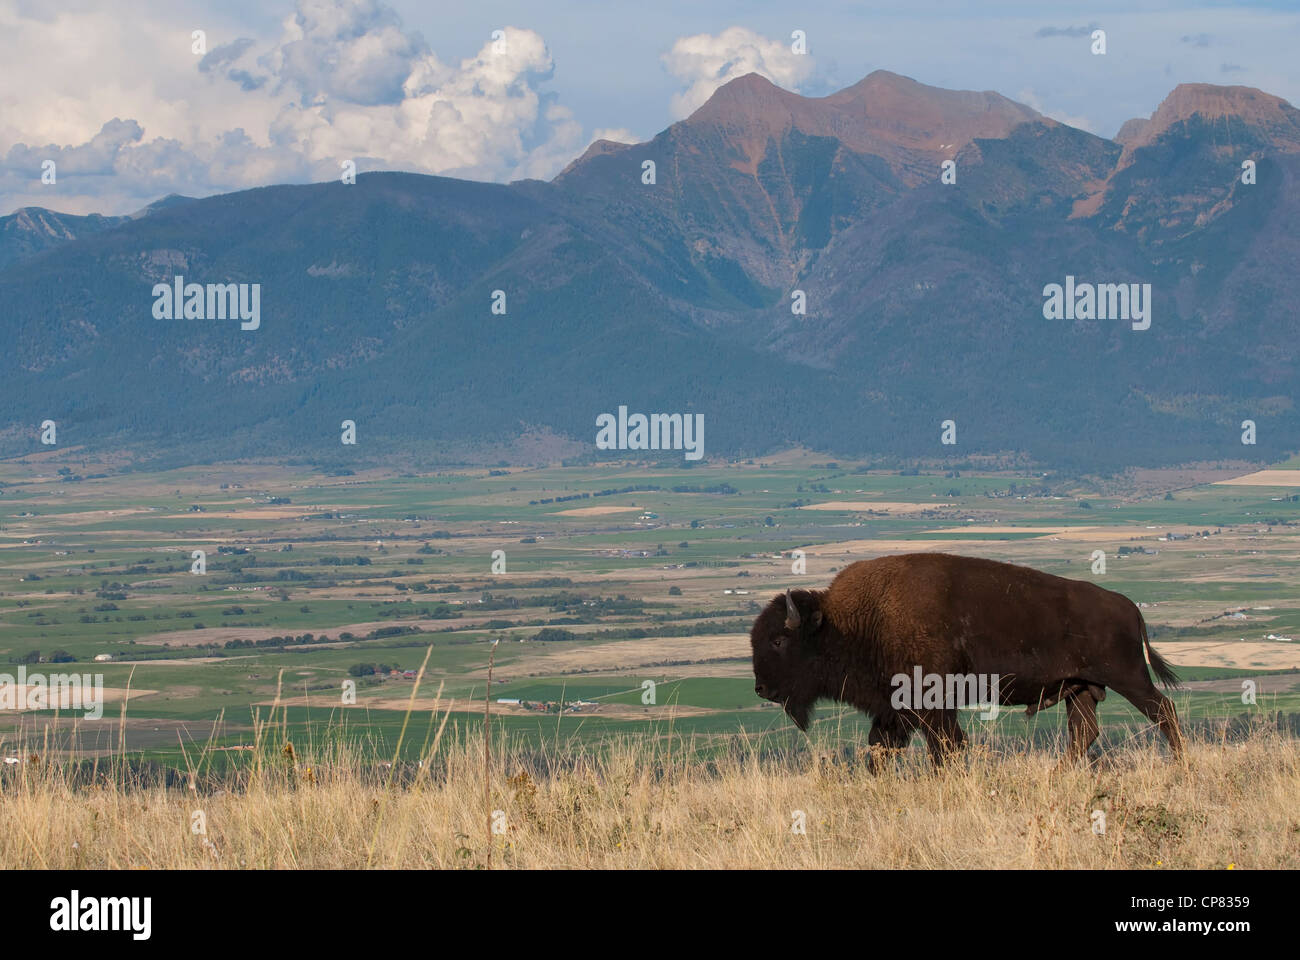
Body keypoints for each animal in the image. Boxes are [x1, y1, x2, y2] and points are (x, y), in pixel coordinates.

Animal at [748, 554, 1185, 764]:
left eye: (779, 640)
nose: (761, 688)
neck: (850, 623)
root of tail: (1129, 606)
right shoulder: (894, 711)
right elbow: (880, 748)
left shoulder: (933, 706)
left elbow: (946, 747)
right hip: (1080, 689)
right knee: (1084, 731)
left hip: (1128, 678)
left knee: (1164, 712)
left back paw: (1180, 766)